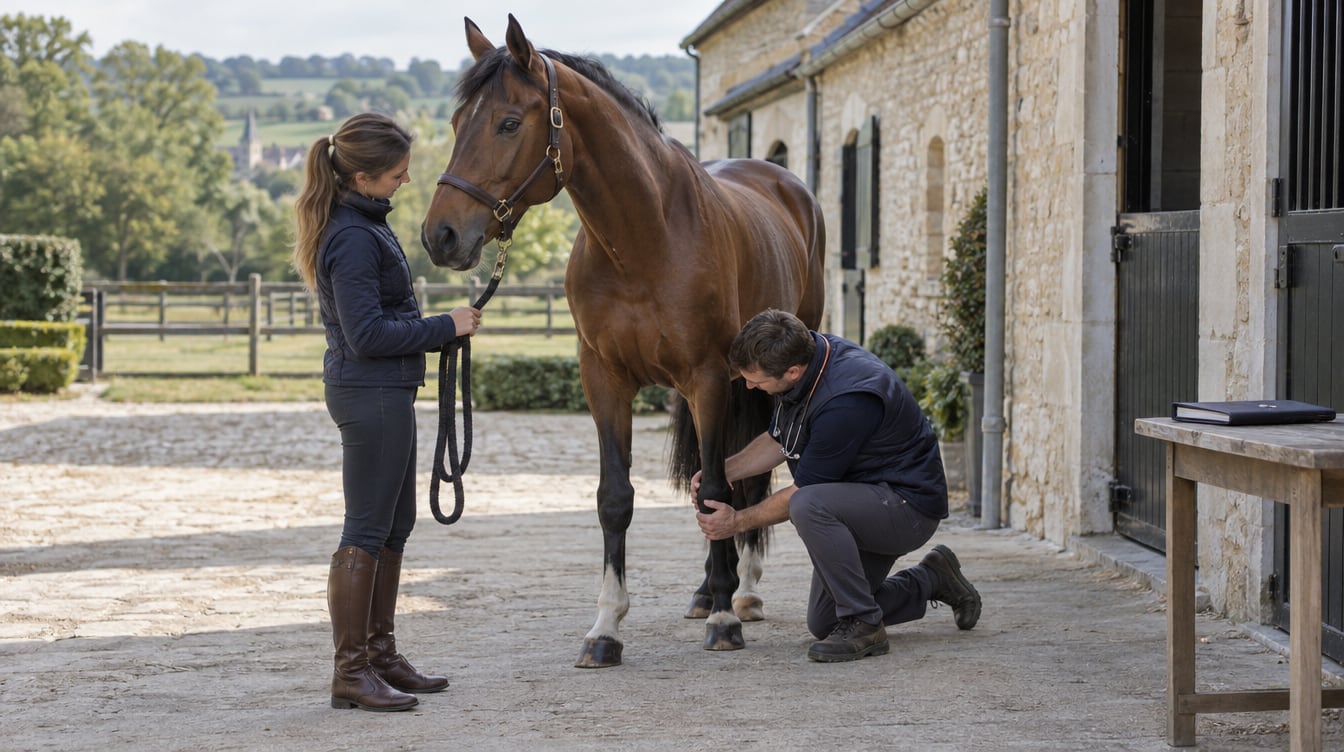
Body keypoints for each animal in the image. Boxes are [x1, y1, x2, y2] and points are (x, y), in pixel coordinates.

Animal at [421, 15, 826, 668]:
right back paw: (709, 589)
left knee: (744, 482)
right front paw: (606, 628)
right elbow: (617, 497)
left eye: (508, 122)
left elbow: (716, 487)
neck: (644, 239)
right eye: (458, 124)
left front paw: (723, 619)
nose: (441, 236)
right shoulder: (604, 379)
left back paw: (740, 594)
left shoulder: (707, 378)